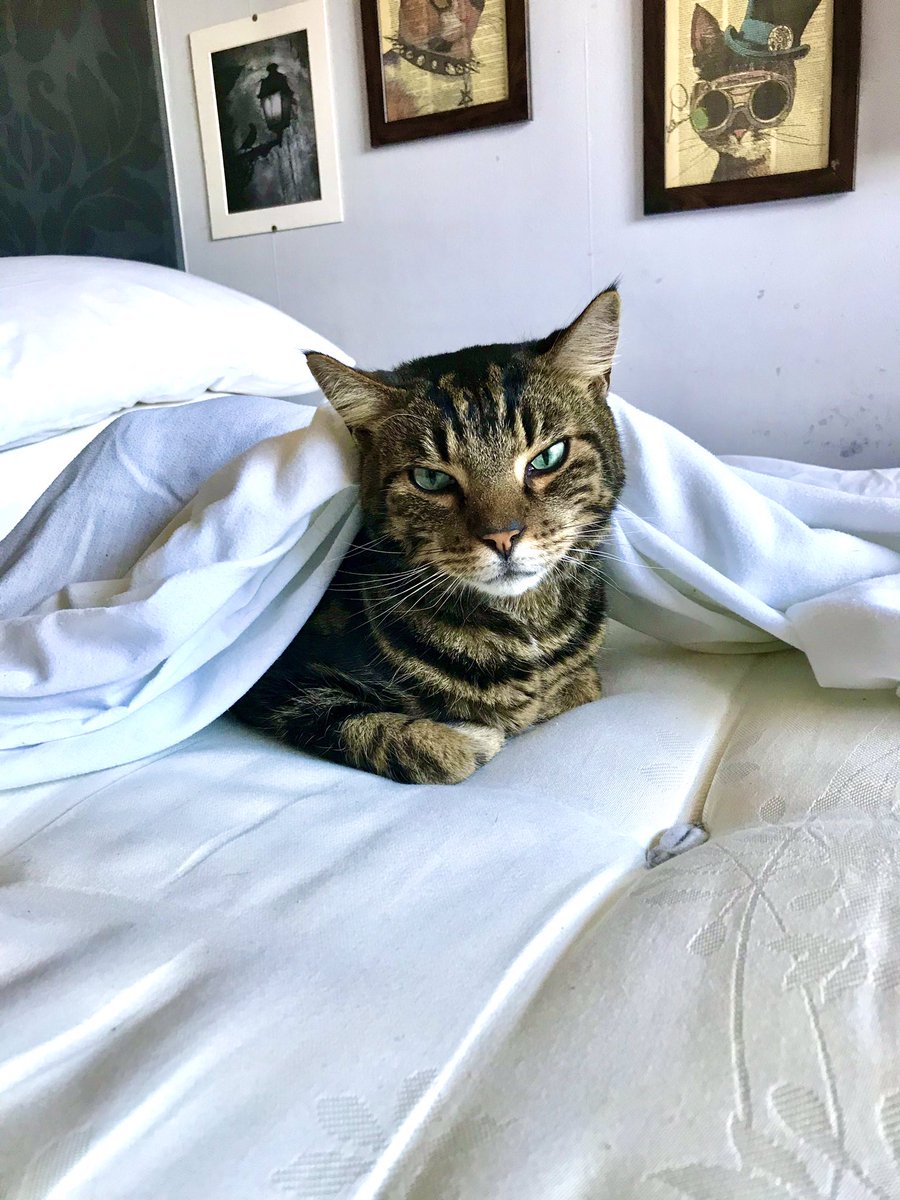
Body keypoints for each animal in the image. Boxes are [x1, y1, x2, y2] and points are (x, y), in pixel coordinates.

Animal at [230, 285, 628, 782]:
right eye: (431, 479)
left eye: (548, 457)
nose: (503, 537)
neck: (524, 634)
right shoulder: (275, 683)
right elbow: (387, 735)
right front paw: (466, 738)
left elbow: (581, 685)